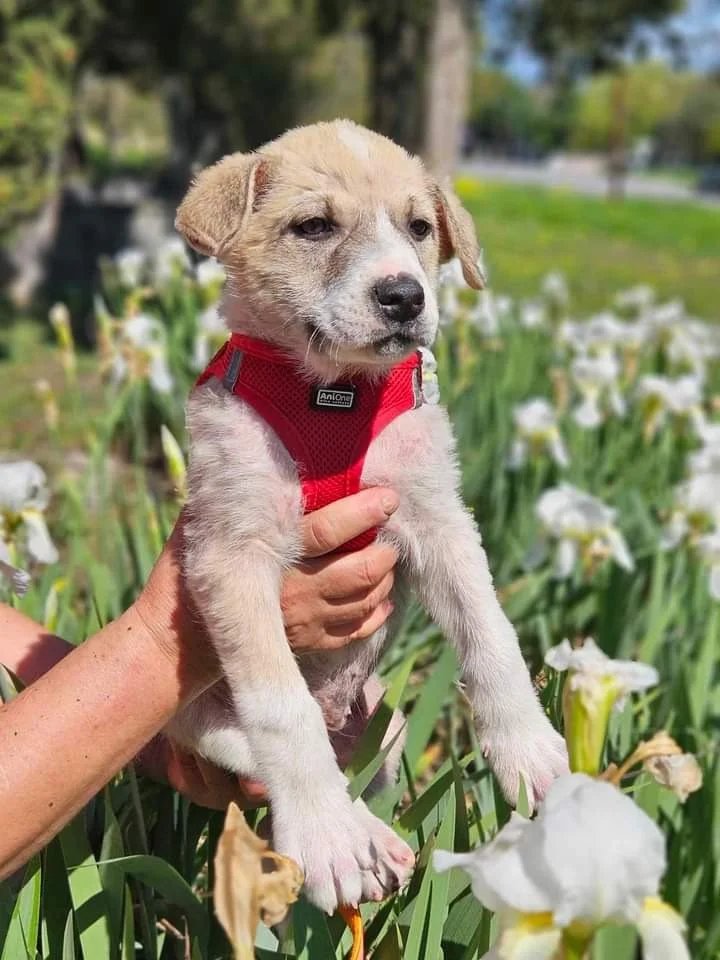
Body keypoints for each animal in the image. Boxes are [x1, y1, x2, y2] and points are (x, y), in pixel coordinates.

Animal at [168, 120, 568, 914]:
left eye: (420, 228)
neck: (335, 394)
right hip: (186, 712)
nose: (405, 295)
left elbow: (491, 633)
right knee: (265, 736)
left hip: (387, 720)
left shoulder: (439, 519)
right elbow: (279, 705)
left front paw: (527, 747)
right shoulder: (228, 552)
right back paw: (353, 833)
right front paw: (326, 837)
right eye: (314, 227)